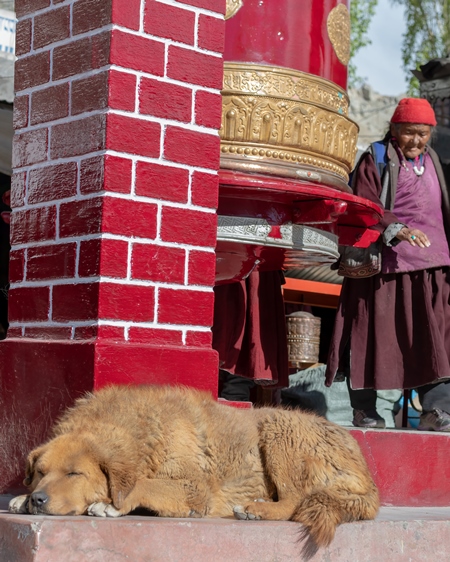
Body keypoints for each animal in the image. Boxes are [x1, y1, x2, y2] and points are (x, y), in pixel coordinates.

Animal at [8, 382, 378, 556]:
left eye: (75, 474)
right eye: (40, 472)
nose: (38, 500)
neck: (141, 433)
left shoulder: (196, 490)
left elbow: (142, 484)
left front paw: (112, 504)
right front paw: (19, 498)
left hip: (277, 428)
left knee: (296, 500)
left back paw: (256, 509)